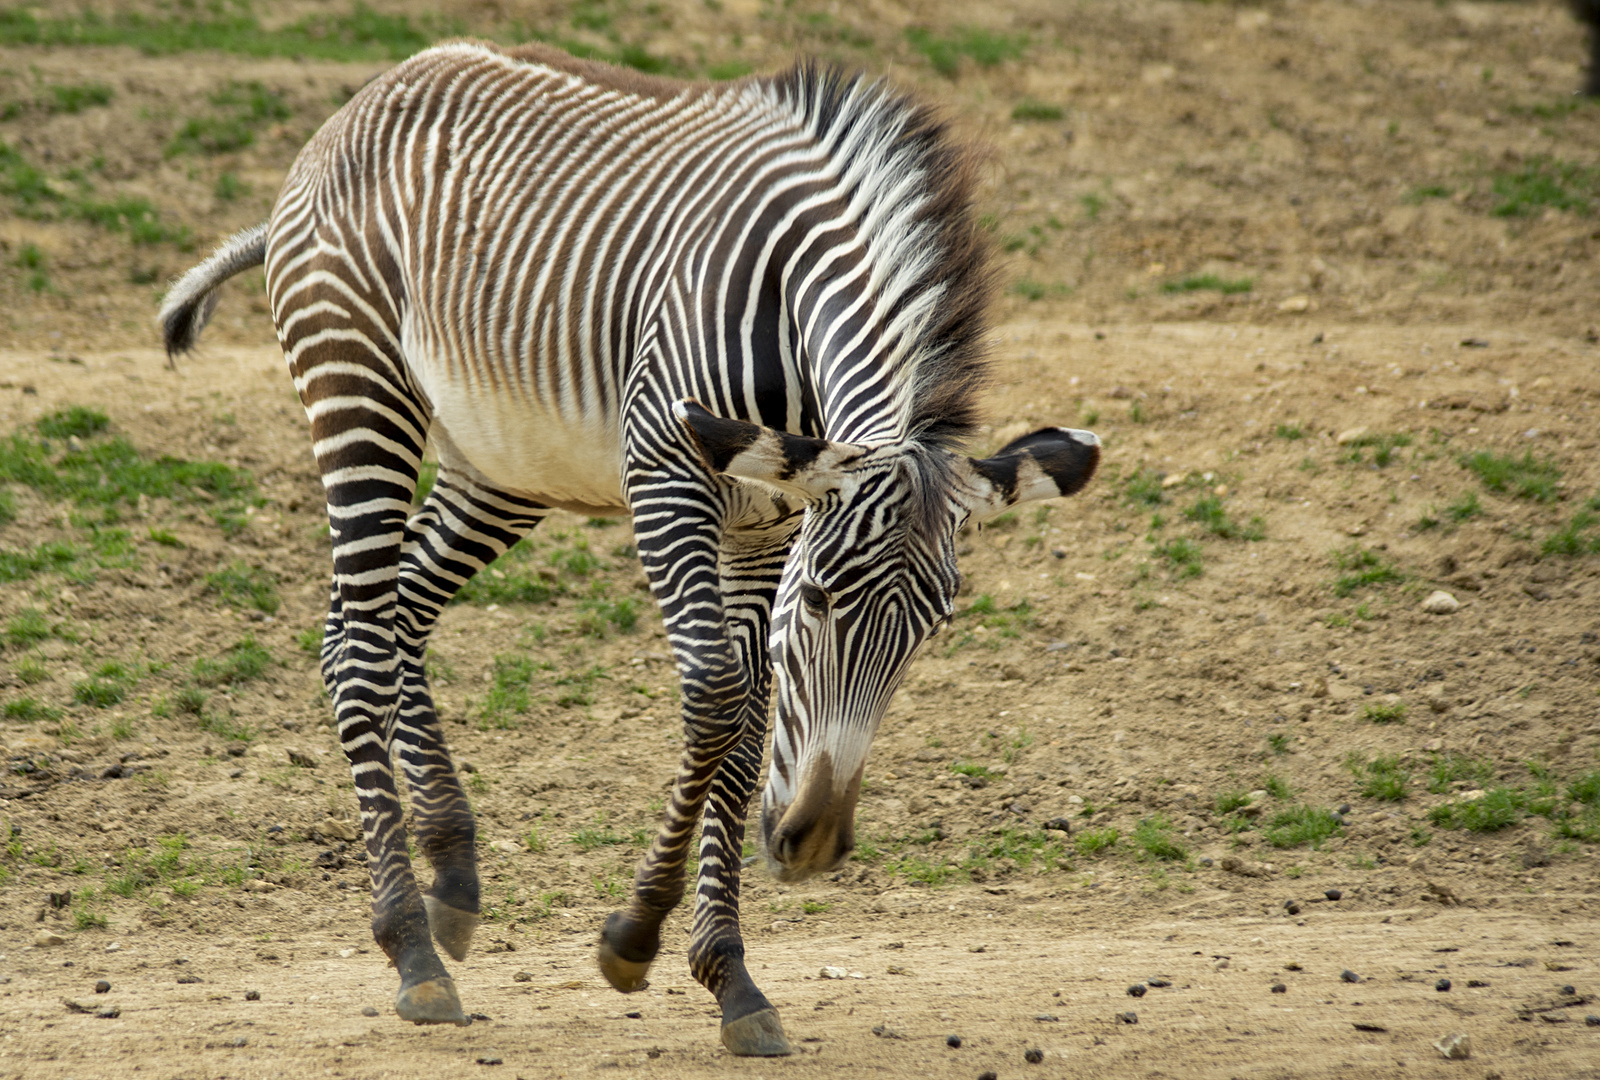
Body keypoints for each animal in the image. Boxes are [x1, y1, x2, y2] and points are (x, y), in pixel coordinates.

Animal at [159, 42, 1100, 1056]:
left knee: (390, 619)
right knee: (362, 649)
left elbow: (747, 724)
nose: (811, 844)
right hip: (357, 391)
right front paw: (634, 937)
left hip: (503, 463)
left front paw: (731, 978)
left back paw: (452, 876)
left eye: (931, 630)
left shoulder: (767, 523)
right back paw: (412, 949)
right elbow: (717, 699)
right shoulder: (667, 479)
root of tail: (367, 96)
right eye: (818, 600)